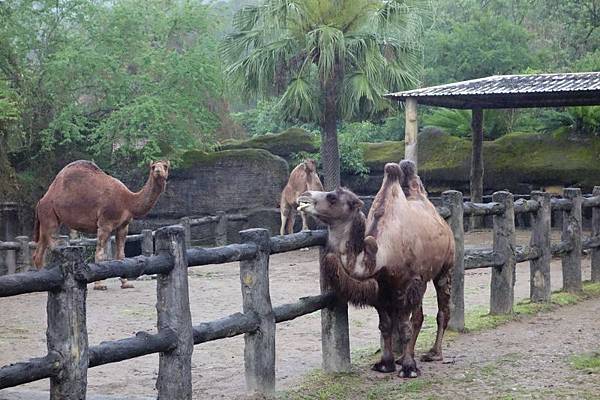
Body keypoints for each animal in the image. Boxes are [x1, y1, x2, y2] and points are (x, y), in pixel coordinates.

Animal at [32, 158, 170, 290]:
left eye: (165, 166)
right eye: (153, 167)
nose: (158, 171)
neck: (128, 201)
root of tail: (41, 201)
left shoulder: (123, 226)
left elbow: (121, 255)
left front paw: (126, 283)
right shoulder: (105, 223)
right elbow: (100, 254)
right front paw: (99, 285)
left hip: (46, 220)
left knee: (39, 252)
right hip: (49, 214)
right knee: (51, 243)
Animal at [298, 160, 458, 378]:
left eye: (332, 197)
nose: (303, 196)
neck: (382, 255)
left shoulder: (407, 285)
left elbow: (404, 327)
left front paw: (409, 369)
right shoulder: (381, 291)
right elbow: (386, 326)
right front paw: (386, 364)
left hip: (445, 267)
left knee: (441, 310)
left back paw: (434, 353)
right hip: (422, 280)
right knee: (419, 316)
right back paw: (404, 357)